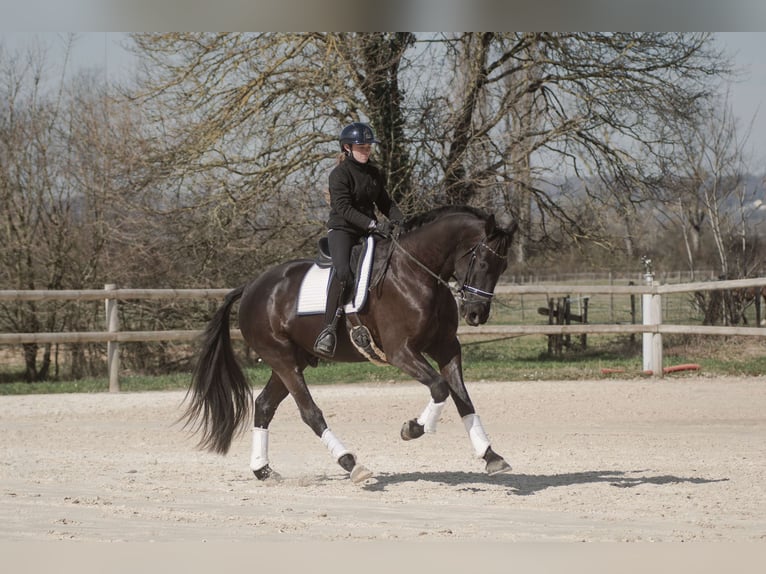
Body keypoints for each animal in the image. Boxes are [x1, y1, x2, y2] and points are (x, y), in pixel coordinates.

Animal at [184, 205, 520, 484]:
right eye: (483, 262)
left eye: (503, 268)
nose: (476, 314)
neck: (417, 271)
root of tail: (252, 286)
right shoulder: (401, 352)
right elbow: (440, 388)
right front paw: (413, 428)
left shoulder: (447, 347)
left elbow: (462, 398)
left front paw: (491, 456)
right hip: (281, 358)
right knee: (310, 413)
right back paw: (351, 464)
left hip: (293, 360)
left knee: (265, 406)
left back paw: (263, 470)